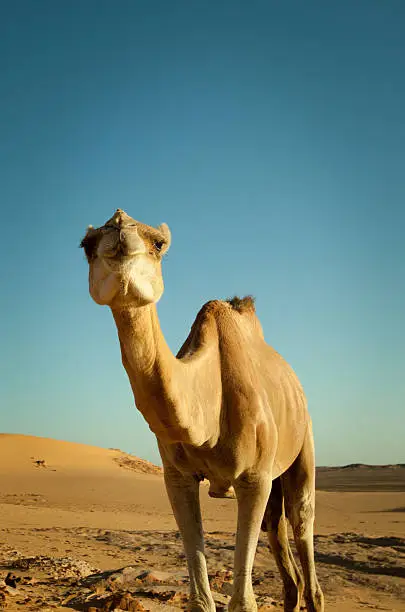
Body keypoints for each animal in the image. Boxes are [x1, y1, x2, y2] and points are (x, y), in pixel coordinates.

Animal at [80, 210, 324, 612]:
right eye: (86, 245)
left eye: (158, 243)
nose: (119, 227)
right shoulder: (177, 477)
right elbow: (199, 597)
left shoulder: (254, 479)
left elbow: (243, 601)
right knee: (280, 541)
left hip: (304, 444)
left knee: (303, 524)